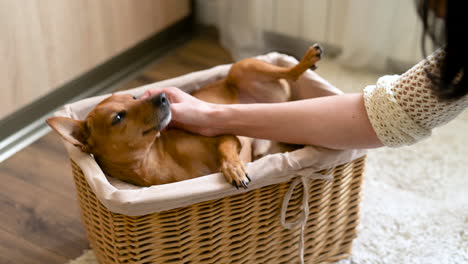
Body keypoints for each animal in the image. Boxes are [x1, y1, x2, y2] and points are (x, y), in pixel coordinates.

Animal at [49, 44, 324, 188]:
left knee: (290, 72)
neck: (156, 159)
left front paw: (233, 168)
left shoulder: (226, 136)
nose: (163, 97)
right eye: (118, 117)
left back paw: (306, 60)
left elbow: (226, 150)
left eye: (134, 97)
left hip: (243, 67)